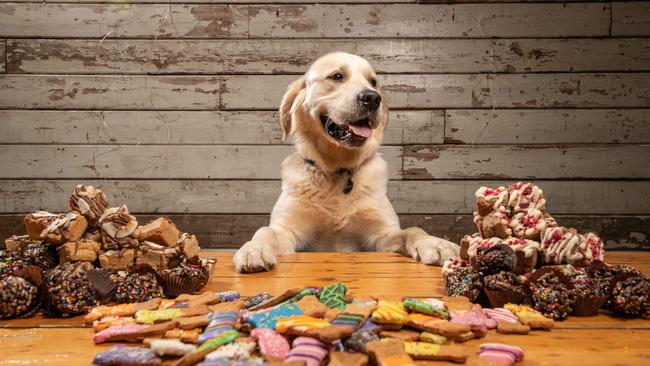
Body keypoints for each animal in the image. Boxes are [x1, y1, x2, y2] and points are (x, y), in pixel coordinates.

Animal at [232, 53, 456, 274]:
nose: (372, 98)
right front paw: (255, 249)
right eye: (337, 76)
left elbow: (413, 230)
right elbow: (265, 230)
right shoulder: (287, 230)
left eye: (373, 82)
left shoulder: (383, 236)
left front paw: (435, 243)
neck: (338, 171)